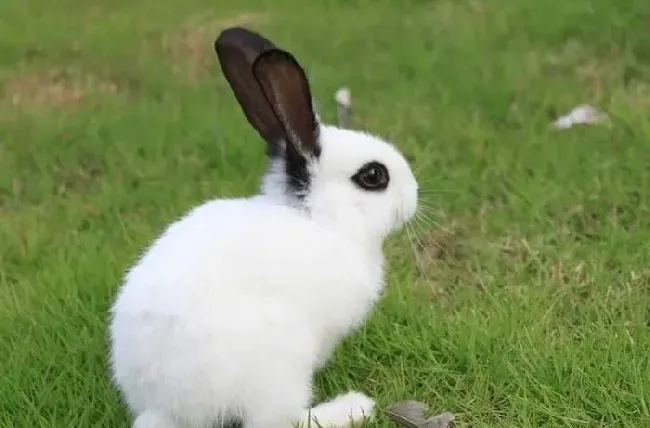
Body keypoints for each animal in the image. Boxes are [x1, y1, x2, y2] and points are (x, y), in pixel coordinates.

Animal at [107, 25, 418, 428]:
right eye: (373, 176)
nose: (413, 196)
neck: (323, 221)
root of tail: (167, 408)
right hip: (282, 362)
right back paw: (354, 407)